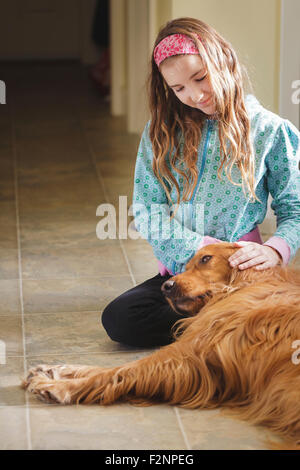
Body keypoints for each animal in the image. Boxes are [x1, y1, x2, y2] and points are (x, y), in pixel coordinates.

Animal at [21, 244, 300, 450]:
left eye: (206, 258)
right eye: (186, 265)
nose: (166, 286)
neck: (242, 285)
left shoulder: (189, 354)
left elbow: (119, 371)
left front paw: (58, 387)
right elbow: (107, 368)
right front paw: (54, 370)